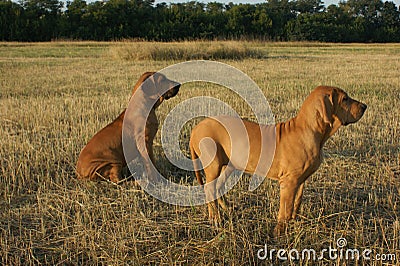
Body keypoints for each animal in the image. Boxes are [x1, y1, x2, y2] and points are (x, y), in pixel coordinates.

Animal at [189, 85, 368, 235]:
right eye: (345, 99)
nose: (365, 107)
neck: (309, 129)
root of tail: (196, 129)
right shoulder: (288, 182)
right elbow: (285, 208)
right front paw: (279, 231)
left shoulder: (300, 180)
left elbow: (296, 203)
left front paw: (293, 222)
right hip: (214, 164)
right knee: (209, 188)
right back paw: (215, 218)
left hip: (229, 165)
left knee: (218, 187)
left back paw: (227, 210)